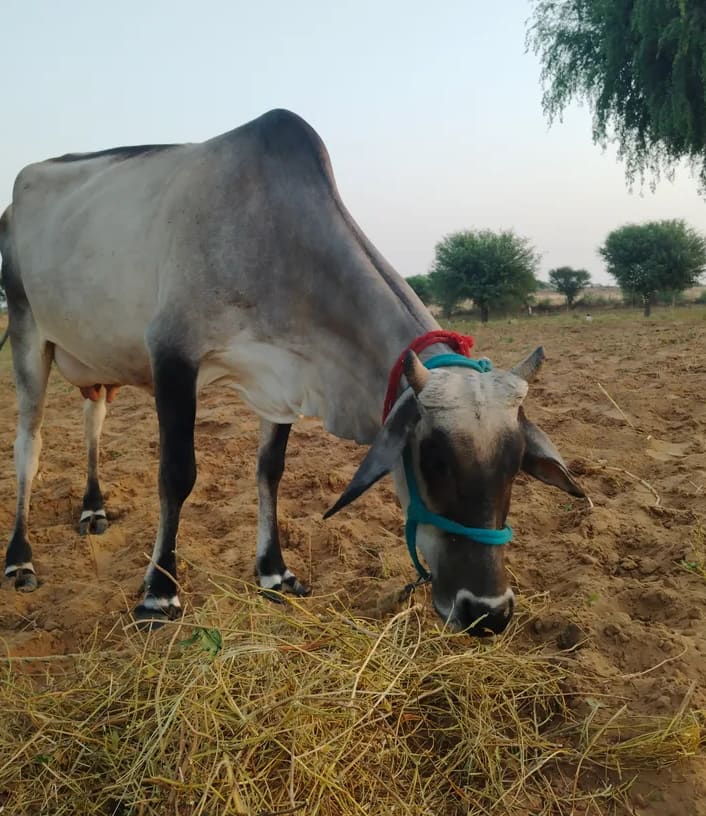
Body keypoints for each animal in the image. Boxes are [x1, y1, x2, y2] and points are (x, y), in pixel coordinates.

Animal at [0, 109, 584, 636]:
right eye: (433, 461)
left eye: (516, 466)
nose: (488, 612)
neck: (276, 239)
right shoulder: (172, 357)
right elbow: (177, 474)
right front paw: (160, 592)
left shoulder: (280, 383)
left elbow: (270, 471)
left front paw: (274, 572)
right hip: (28, 330)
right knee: (29, 445)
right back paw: (20, 557)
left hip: (95, 366)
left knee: (92, 422)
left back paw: (92, 510)